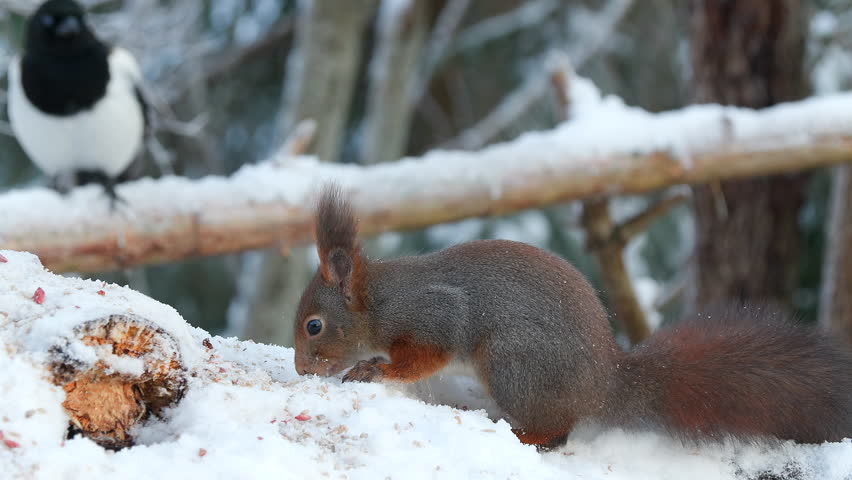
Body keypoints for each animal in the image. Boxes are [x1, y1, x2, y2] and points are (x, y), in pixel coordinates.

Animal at [293, 184, 852, 448]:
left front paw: (374, 369)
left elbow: (421, 357)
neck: (380, 301)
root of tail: (606, 384)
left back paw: (522, 435)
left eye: (314, 326)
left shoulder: (434, 316)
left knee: (557, 432)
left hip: (513, 363)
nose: (301, 369)